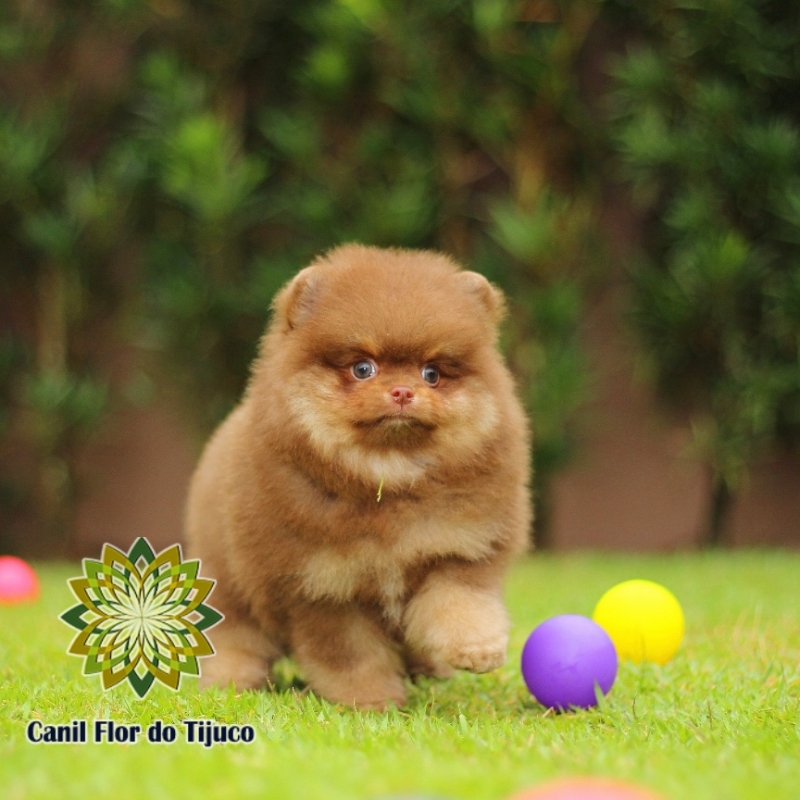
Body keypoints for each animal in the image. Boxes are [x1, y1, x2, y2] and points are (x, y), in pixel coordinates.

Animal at [186, 242, 532, 708]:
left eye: (432, 373)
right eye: (363, 368)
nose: (403, 391)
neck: (389, 476)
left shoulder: (458, 549)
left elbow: (460, 602)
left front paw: (476, 648)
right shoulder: (325, 589)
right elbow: (350, 656)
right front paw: (371, 702)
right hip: (228, 582)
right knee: (235, 636)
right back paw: (231, 682)